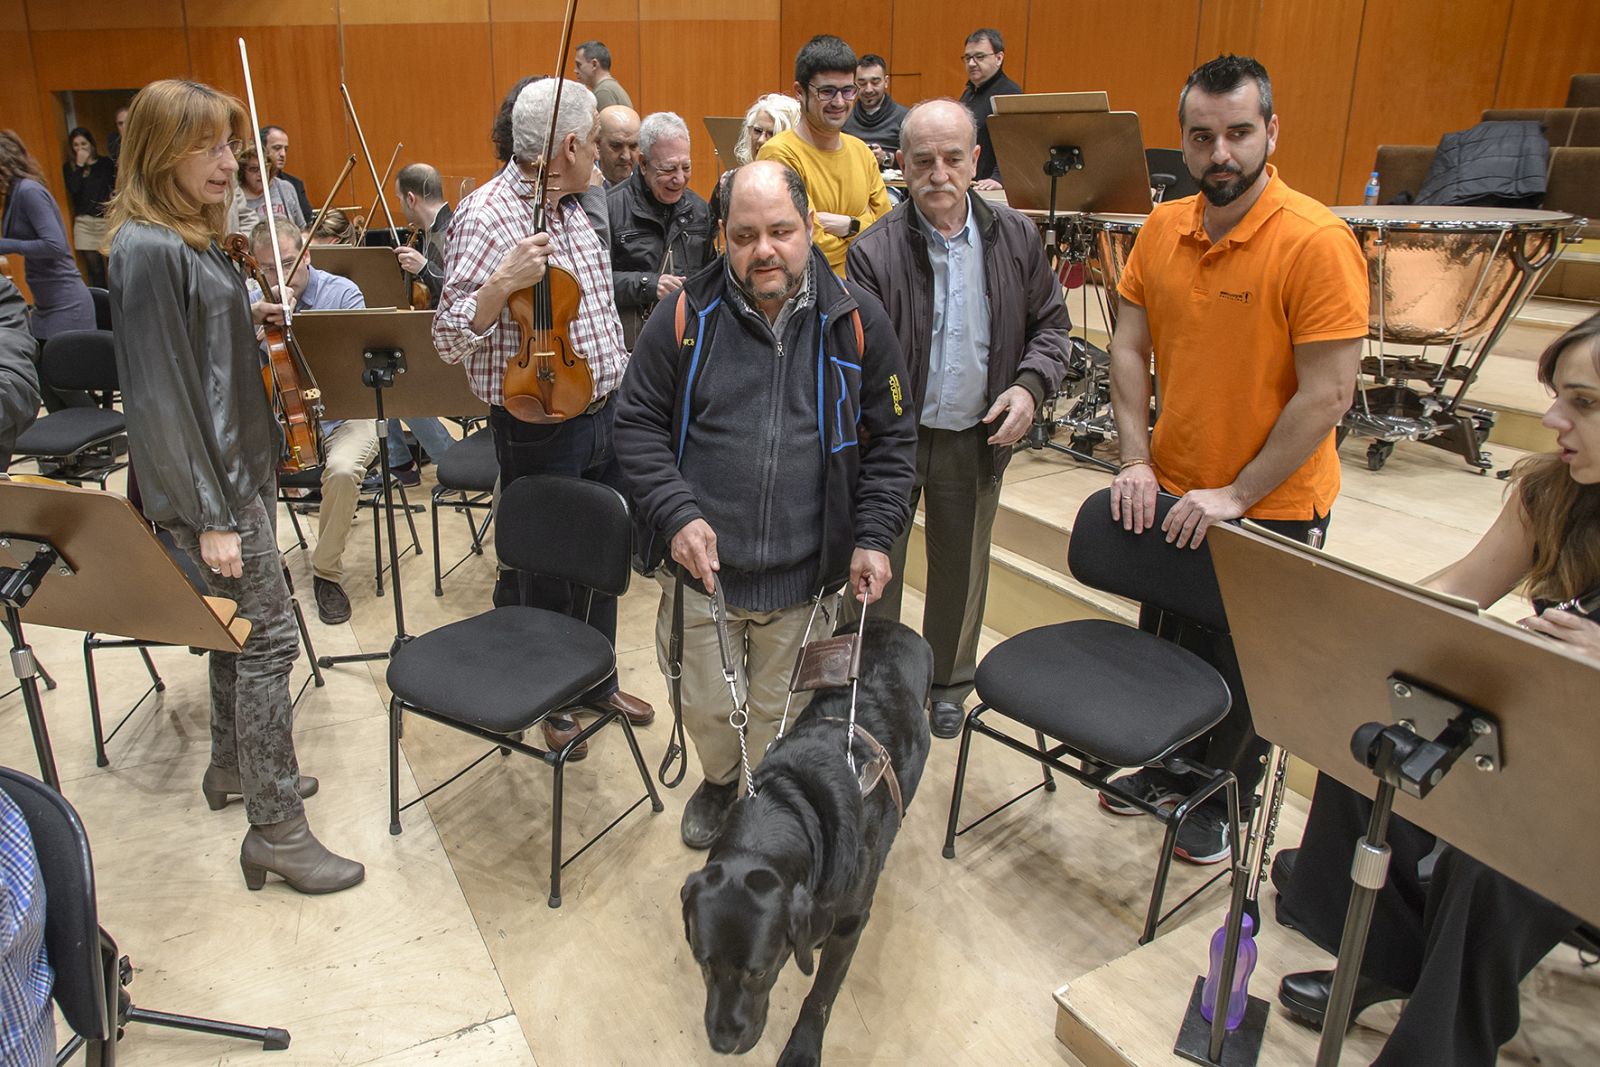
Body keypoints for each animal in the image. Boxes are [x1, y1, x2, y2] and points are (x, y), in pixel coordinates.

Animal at [678, 620, 934, 1062]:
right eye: (703, 963)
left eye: (760, 971)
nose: (723, 1044)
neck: (786, 808)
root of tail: (895, 624)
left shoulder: (852, 922)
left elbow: (821, 994)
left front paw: (803, 1046)